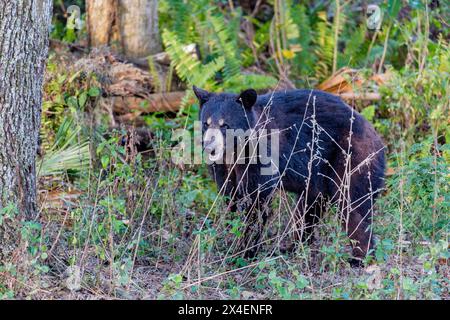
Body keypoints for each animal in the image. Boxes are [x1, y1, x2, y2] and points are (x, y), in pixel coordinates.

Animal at [193, 85, 386, 264]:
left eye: (225, 125)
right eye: (206, 123)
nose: (209, 147)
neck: (234, 153)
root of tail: (378, 139)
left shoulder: (261, 157)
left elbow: (256, 201)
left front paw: (243, 252)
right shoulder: (224, 168)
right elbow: (230, 197)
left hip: (350, 159)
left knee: (351, 206)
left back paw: (359, 257)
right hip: (317, 176)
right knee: (309, 208)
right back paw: (293, 247)